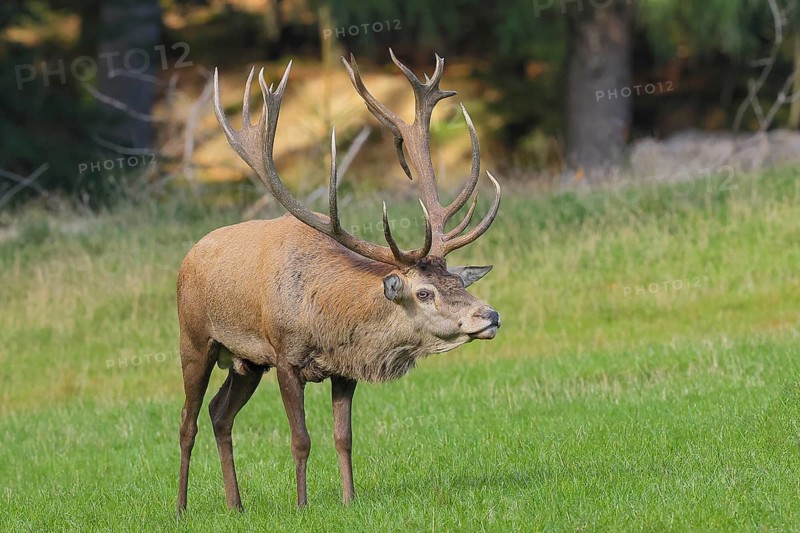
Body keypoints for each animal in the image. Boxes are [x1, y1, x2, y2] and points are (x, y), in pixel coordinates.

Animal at [176, 50, 502, 514]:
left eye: (460, 281)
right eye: (424, 292)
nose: (489, 315)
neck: (327, 319)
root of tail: (190, 255)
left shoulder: (345, 368)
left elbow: (343, 437)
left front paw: (349, 500)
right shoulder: (285, 356)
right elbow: (301, 439)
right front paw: (302, 505)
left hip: (246, 361)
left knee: (220, 413)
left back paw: (236, 505)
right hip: (195, 339)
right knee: (187, 421)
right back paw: (181, 506)